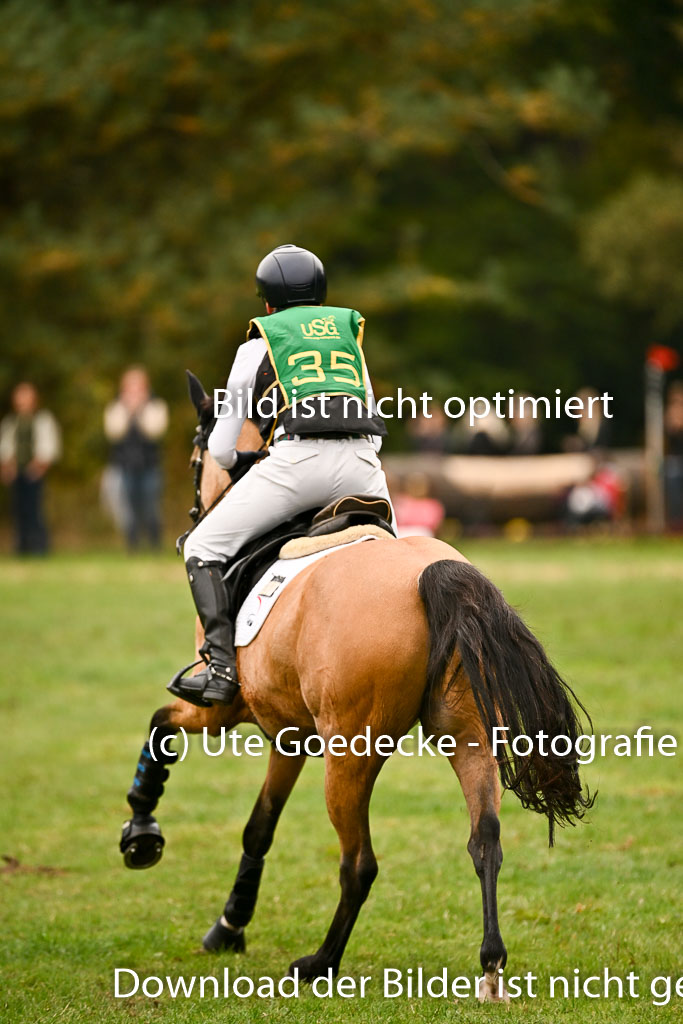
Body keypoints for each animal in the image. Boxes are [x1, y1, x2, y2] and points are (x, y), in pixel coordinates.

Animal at [120, 374, 593, 1001]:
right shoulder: (289, 734)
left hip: (350, 754)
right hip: (464, 733)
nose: (195, 514)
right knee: (485, 840)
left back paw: (320, 962)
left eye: (198, 453)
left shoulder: (225, 711)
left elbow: (161, 727)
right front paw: (229, 926)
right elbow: (258, 829)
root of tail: (428, 574)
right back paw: (491, 965)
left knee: (360, 862)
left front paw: (141, 833)